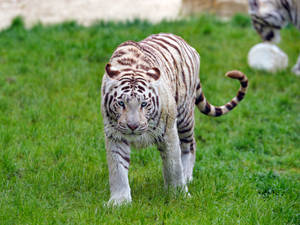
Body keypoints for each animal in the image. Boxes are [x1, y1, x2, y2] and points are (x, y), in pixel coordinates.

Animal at [101, 33, 248, 206]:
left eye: (144, 104)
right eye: (121, 103)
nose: (133, 126)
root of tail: (185, 42)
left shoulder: (168, 132)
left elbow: (173, 166)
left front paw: (180, 194)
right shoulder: (114, 135)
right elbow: (117, 169)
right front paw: (119, 202)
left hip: (185, 116)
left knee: (190, 145)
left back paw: (187, 176)